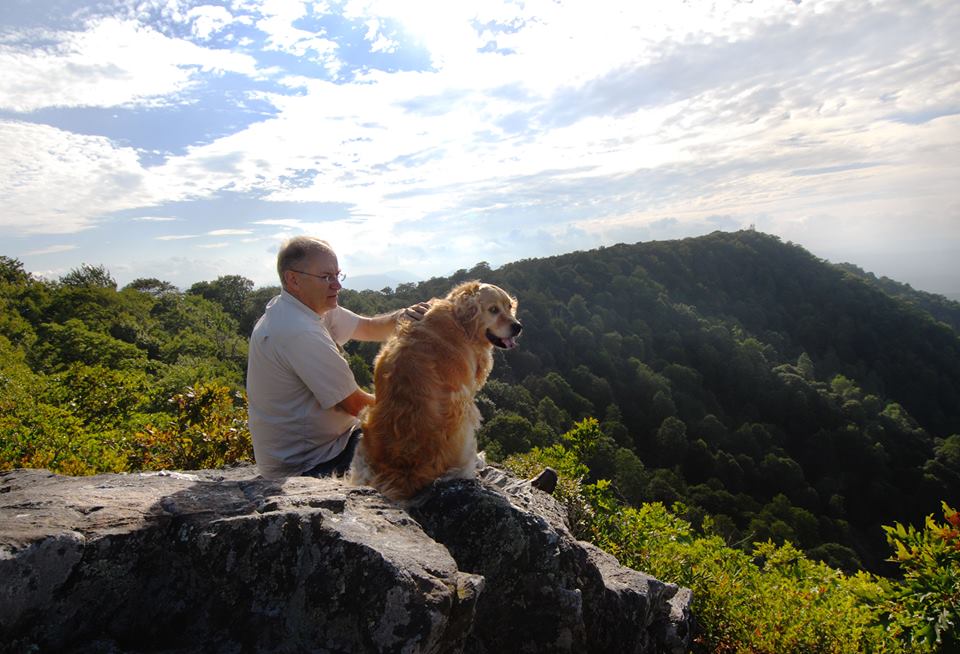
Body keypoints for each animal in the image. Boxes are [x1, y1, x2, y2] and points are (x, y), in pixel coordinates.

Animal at [348, 281, 522, 501]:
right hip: (463, 413)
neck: (461, 322)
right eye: (493, 310)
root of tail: (400, 474)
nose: (518, 327)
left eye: (509, 306)